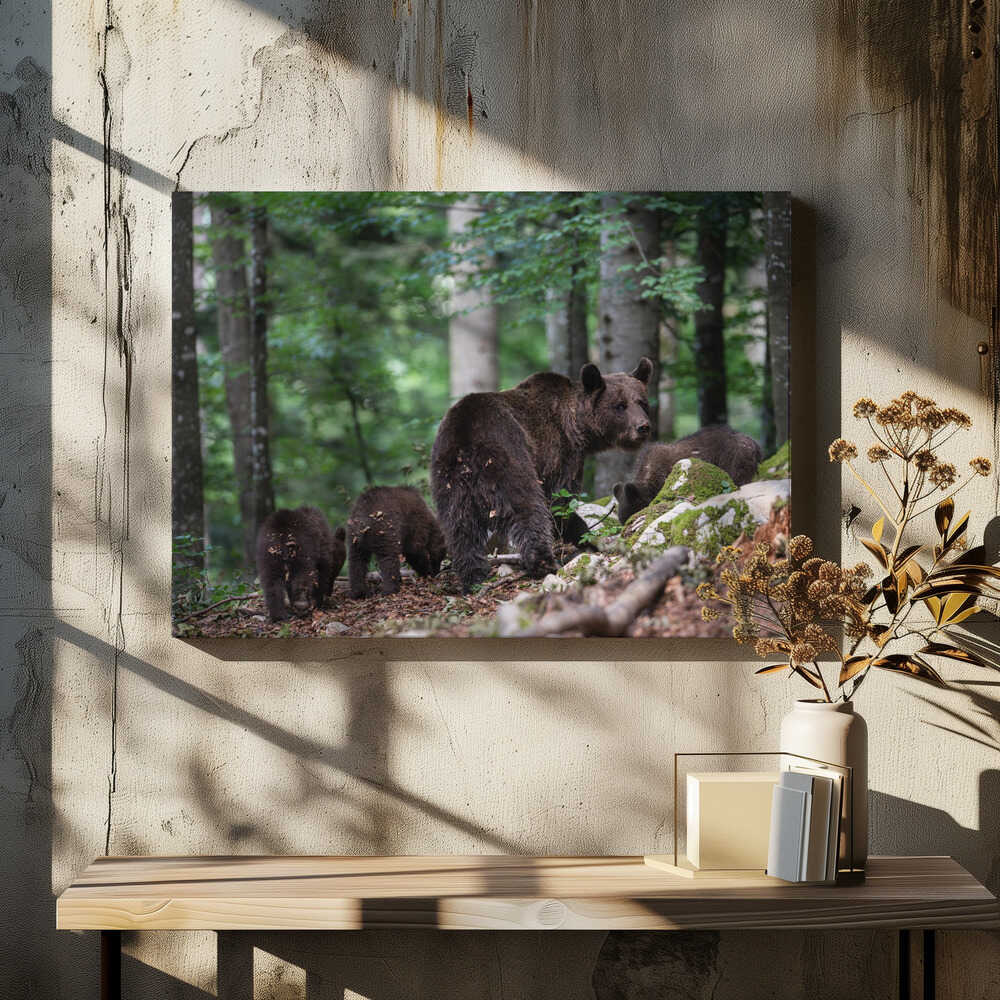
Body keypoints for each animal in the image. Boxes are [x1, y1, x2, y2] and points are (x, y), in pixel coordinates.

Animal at [430, 358, 653, 592]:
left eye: (642, 402)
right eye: (620, 405)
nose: (643, 427)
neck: (579, 428)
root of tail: (466, 436)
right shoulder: (560, 453)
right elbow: (560, 502)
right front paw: (586, 537)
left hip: (449, 478)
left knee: (459, 526)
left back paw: (472, 576)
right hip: (508, 455)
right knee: (527, 507)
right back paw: (543, 562)